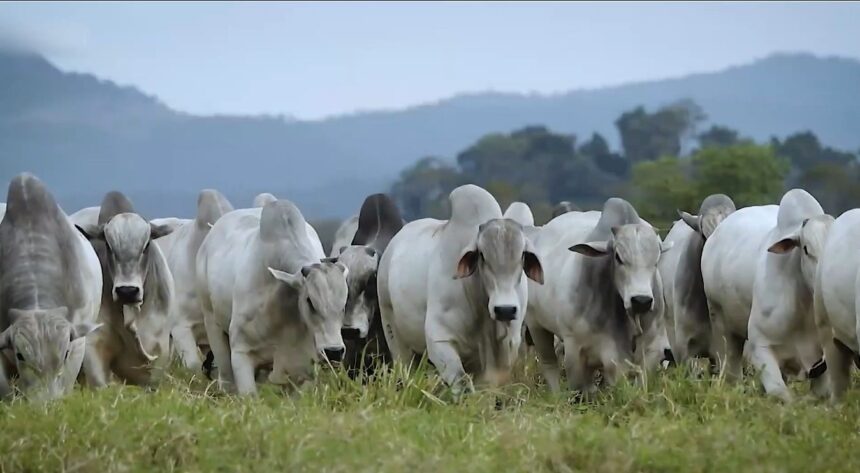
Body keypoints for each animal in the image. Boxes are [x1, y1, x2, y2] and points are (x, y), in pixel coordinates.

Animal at [197, 199, 350, 394]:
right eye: (310, 301)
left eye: (344, 305)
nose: (334, 351)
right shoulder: (241, 351)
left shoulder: (304, 368)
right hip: (212, 323)